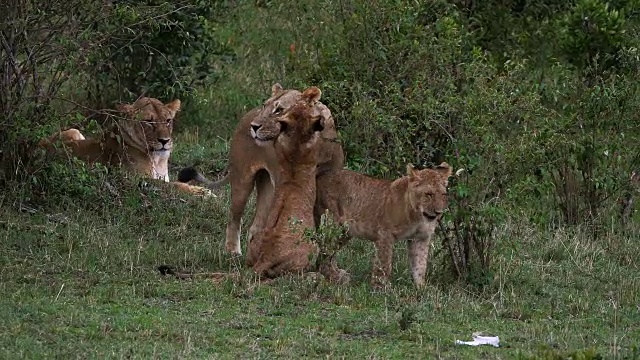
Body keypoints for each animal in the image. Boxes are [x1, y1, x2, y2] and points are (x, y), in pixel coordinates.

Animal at [38, 97, 210, 195]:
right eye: (148, 121)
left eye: (168, 120)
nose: (165, 141)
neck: (158, 160)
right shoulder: (134, 180)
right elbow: (174, 186)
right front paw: (203, 192)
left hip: (74, 132)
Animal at [178, 83, 342, 255]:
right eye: (265, 105)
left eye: (279, 109)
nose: (254, 126)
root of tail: (246, 115)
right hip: (243, 179)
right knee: (234, 217)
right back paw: (233, 252)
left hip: (267, 185)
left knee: (256, 226)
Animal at [312, 162, 452, 286]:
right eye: (428, 194)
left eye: (443, 194)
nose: (439, 212)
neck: (417, 216)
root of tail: (319, 177)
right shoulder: (385, 234)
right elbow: (384, 264)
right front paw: (381, 288)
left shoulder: (420, 238)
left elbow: (420, 264)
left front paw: (420, 288)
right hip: (334, 223)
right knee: (324, 254)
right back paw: (335, 278)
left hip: (344, 232)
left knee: (329, 254)